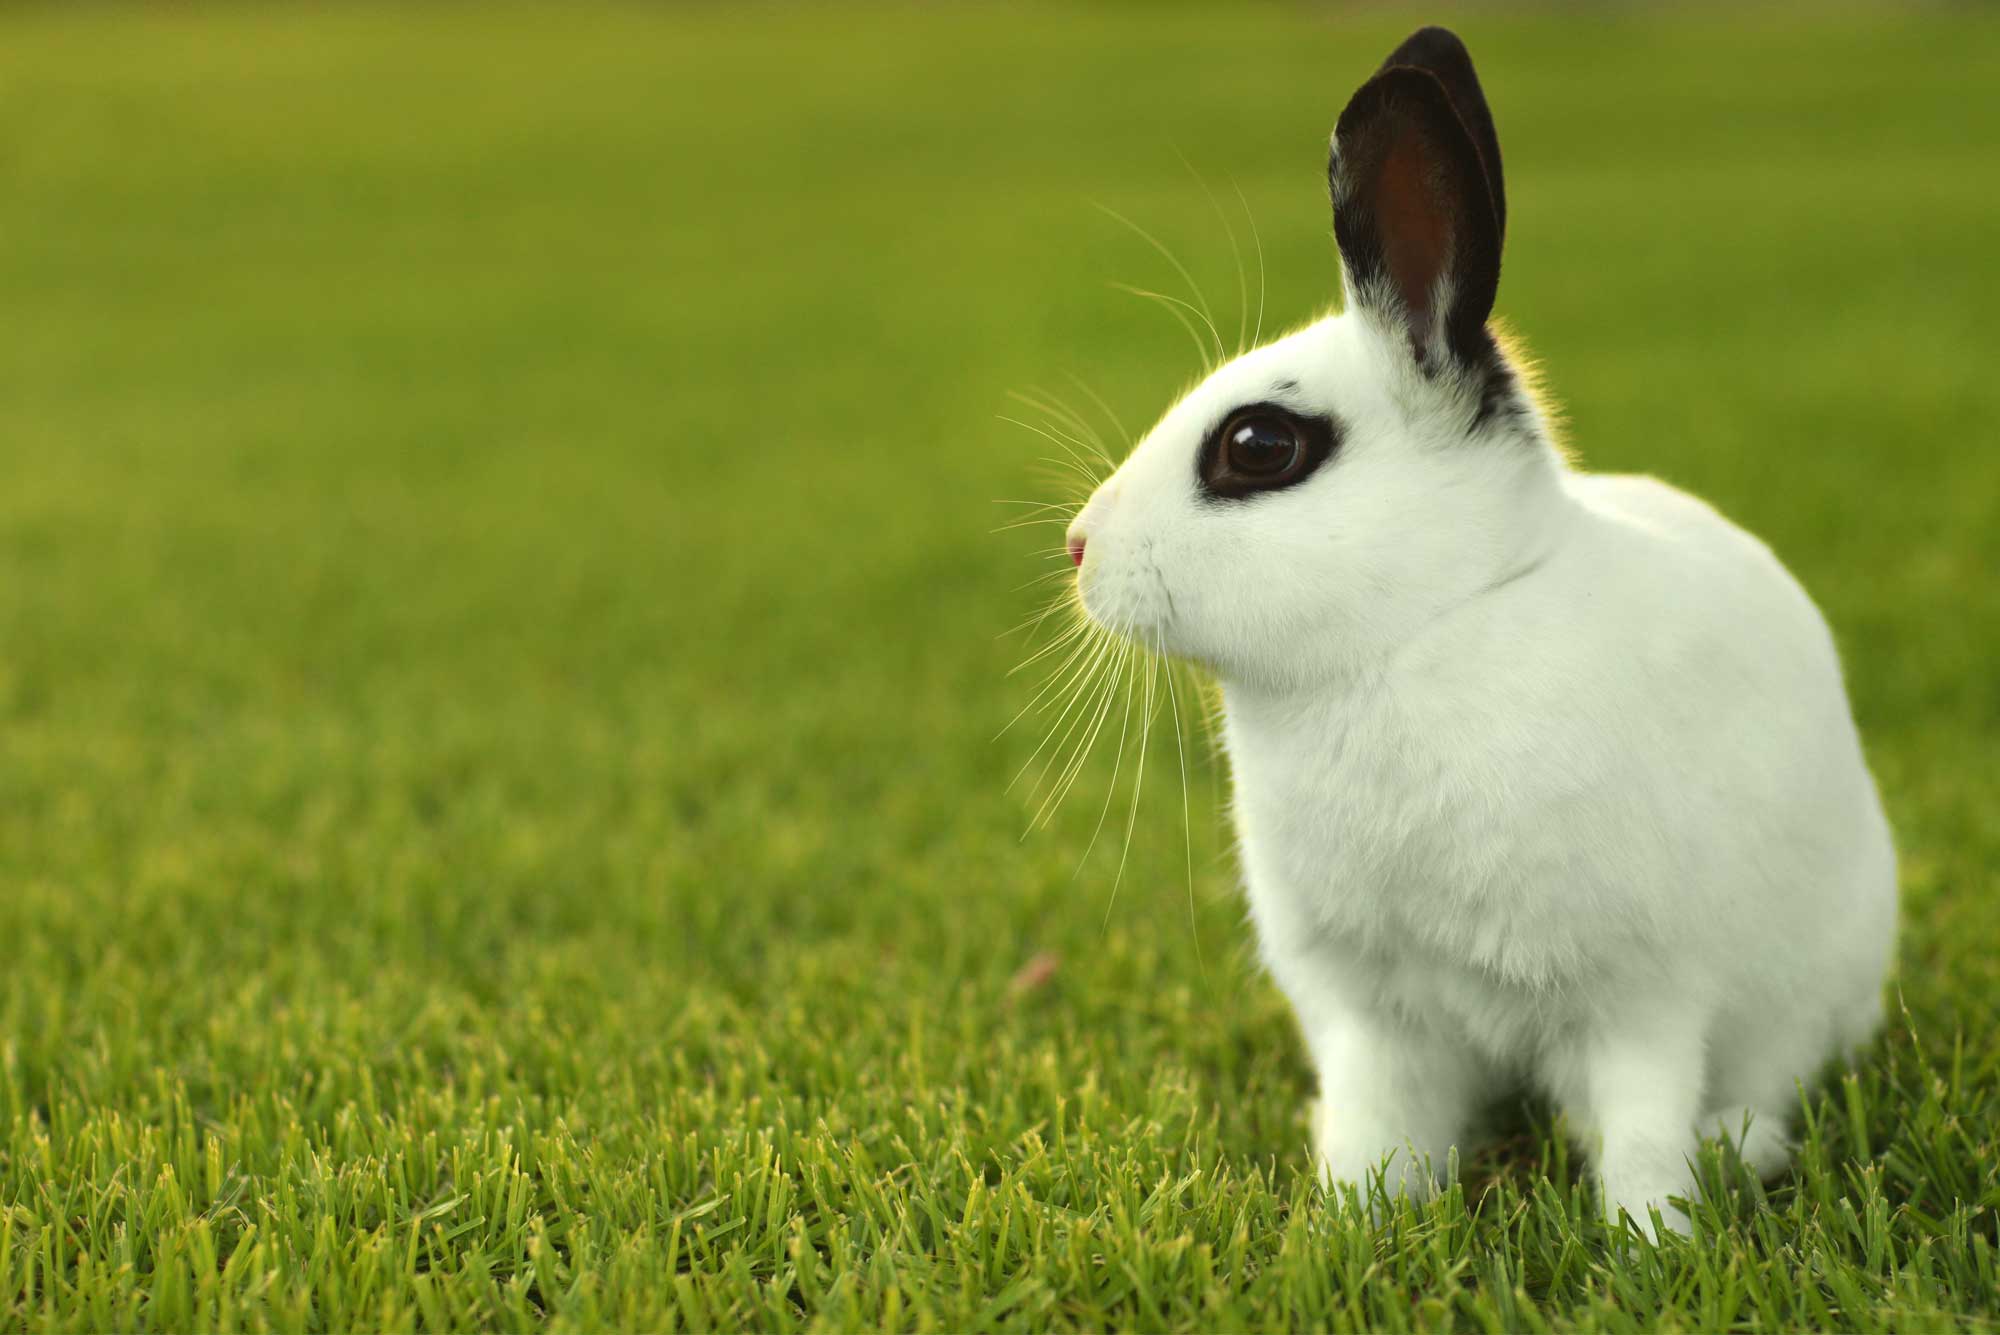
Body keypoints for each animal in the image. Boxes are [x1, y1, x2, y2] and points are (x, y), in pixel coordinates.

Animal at [1061, 26, 1897, 1236]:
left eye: (1258, 445)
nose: (1078, 548)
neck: (1423, 630)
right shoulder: (1374, 1015)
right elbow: (1378, 1132)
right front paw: (1345, 1228)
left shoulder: (1639, 1000)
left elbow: (1640, 1130)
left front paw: (1651, 1241)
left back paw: (1741, 1147)